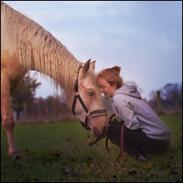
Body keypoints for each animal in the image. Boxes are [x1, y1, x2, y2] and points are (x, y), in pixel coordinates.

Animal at [0, 2, 108, 158]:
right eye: (90, 92)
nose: (105, 128)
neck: (12, 39)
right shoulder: (4, 80)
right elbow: (8, 119)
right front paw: (14, 153)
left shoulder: (12, 83)